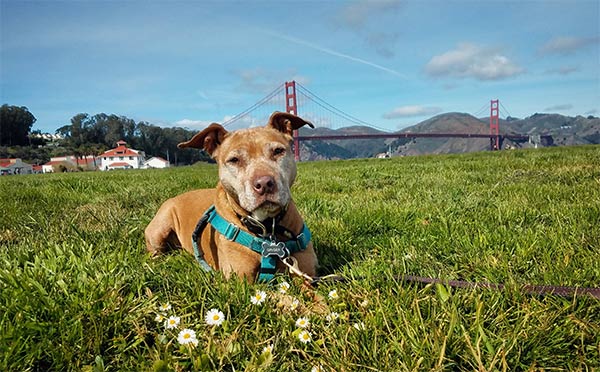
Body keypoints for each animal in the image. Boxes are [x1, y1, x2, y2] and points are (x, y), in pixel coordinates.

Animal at [144, 111, 318, 282]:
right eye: (234, 160)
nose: (264, 184)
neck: (267, 229)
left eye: (278, 151)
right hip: (159, 229)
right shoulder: (241, 281)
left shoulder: (307, 273)